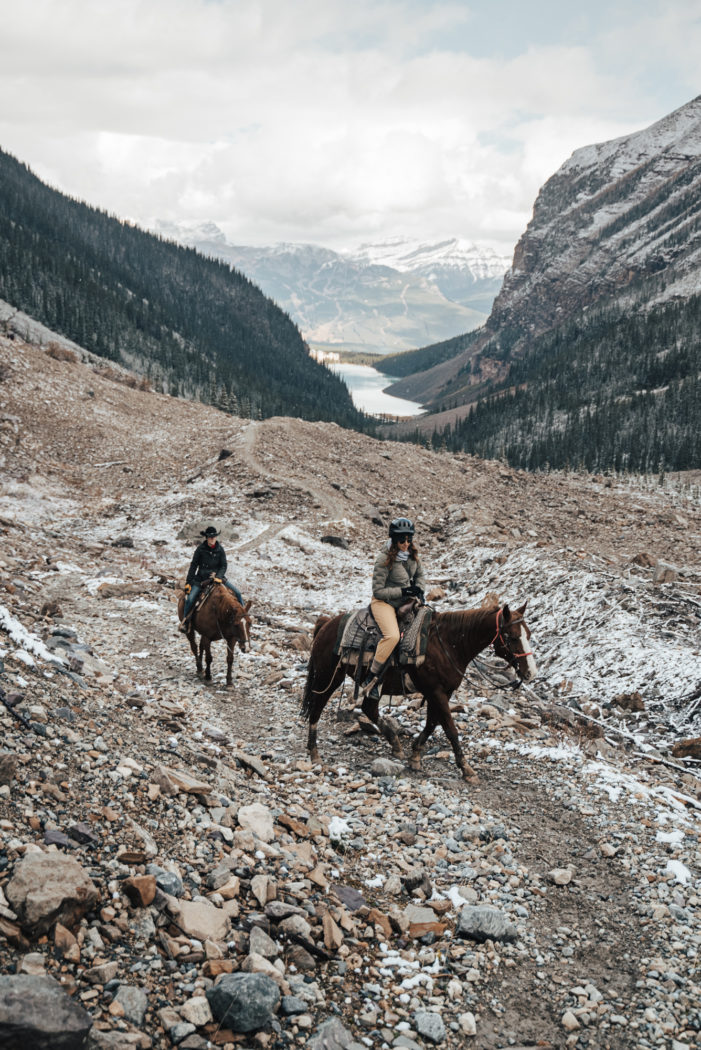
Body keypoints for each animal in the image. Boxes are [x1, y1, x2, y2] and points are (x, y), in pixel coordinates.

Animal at [298, 604, 533, 785]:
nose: (530, 672)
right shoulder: (436, 691)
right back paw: (315, 753)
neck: (448, 643)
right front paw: (467, 770)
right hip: (328, 677)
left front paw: (415, 756)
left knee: (368, 708)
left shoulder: (442, 692)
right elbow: (450, 729)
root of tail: (326, 624)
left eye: (528, 635)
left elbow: (432, 723)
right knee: (317, 708)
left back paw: (395, 744)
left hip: (373, 685)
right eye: (512, 637)